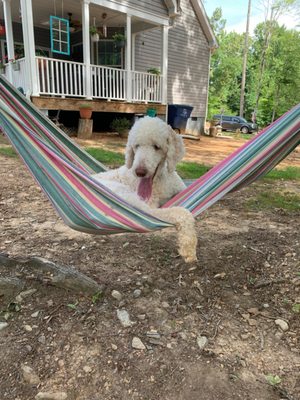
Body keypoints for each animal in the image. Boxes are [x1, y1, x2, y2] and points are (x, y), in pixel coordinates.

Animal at [93, 116, 197, 262]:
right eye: (136, 146)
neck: (159, 181)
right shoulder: (151, 206)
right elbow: (182, 213)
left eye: (156, 147)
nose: (139, 172)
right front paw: (188, 248)